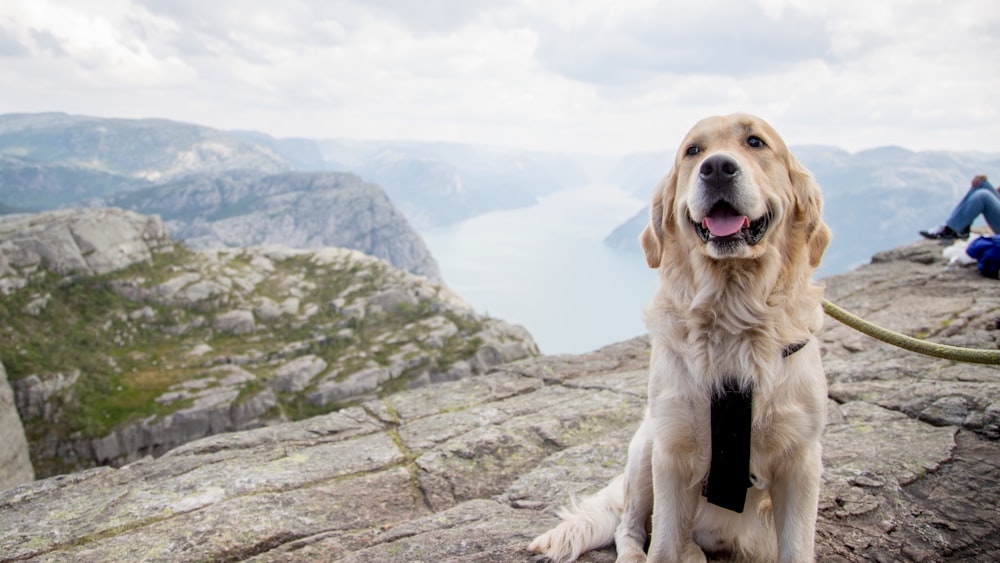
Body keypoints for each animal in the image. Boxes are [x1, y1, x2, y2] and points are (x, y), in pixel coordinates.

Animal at [532, 112, 828, 560]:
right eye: (693, 150)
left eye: (756, 142)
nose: (717, 167)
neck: (732, 315)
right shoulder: (671, 453)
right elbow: (664, 544)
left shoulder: (801, 461)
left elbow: (796, 548)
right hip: (645, 447)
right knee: (628, 526)